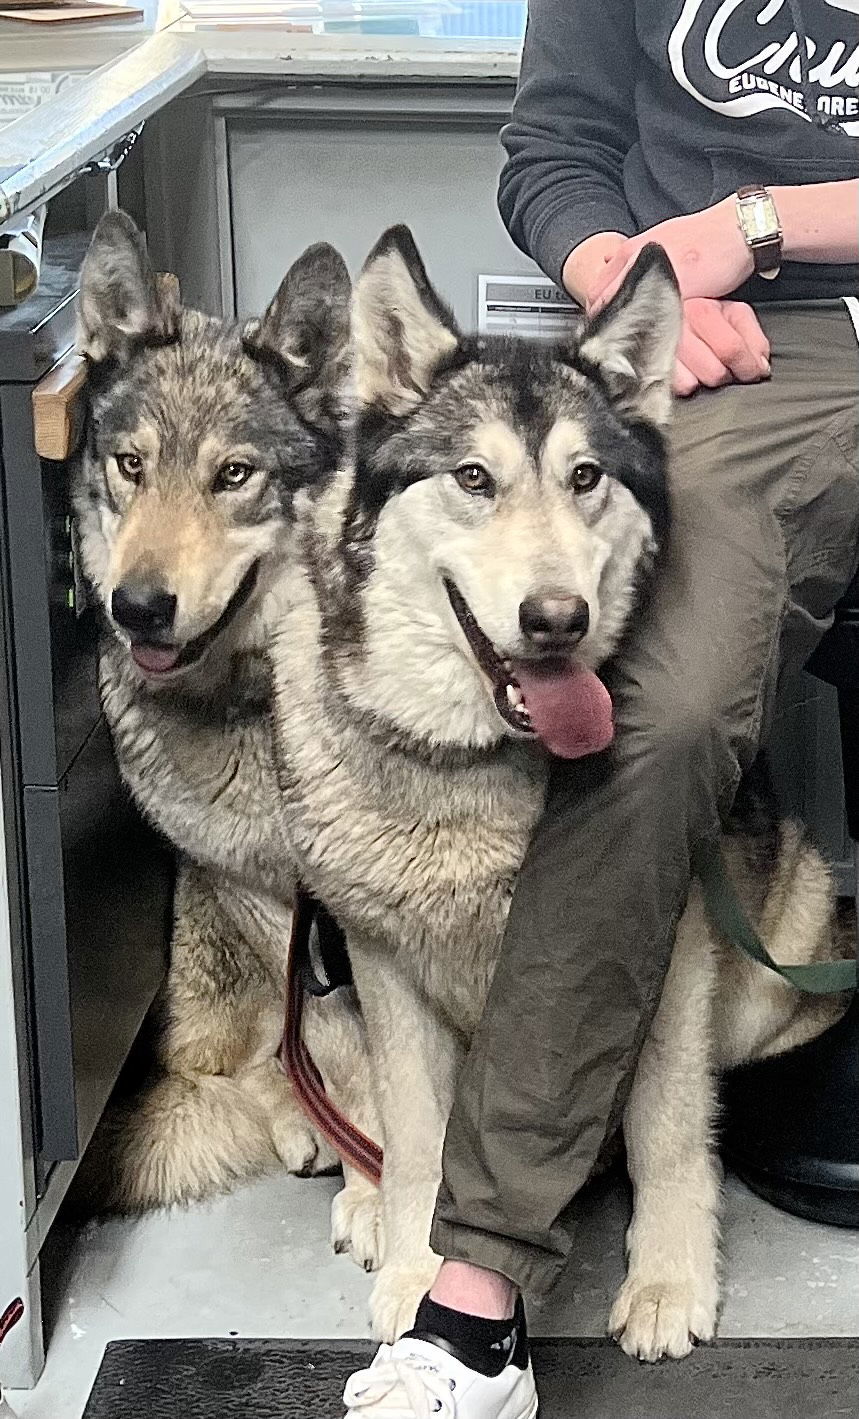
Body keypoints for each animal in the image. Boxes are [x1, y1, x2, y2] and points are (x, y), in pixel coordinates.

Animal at [72, 212, 380, 1265]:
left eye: (233, 475)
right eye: (131, 465)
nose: (136, 608)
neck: (258, 709)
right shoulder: (273, 904)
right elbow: (342, 1054)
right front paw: (372, 1178)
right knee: (238, 1061)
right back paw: (300, 1121)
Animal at [271, 232, 846, 1362]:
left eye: (585, 478)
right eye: (472, 477)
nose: (556, 619)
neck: (477, 762)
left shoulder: (665, 948)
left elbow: (668, 1126)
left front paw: (668, 1279)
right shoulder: (383, 966)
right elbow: (416, 1136)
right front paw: (417, 1268)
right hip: (320, 978)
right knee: (355, 1105)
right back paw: (360, 1191)